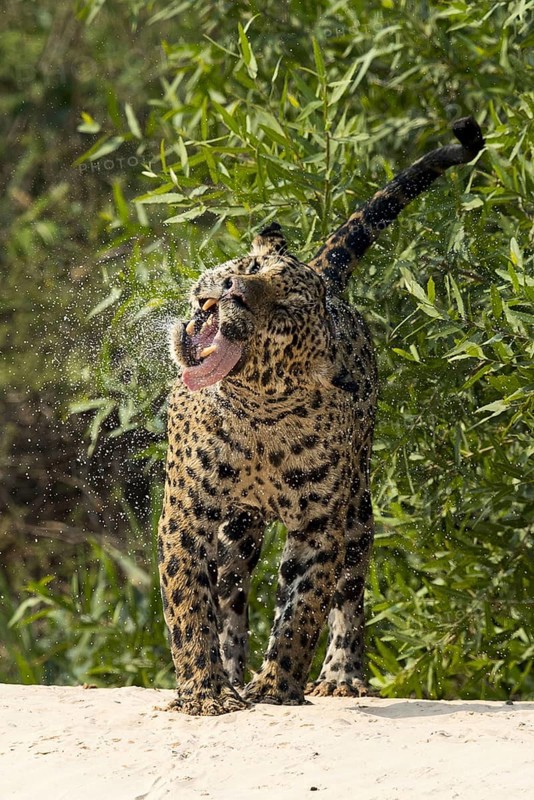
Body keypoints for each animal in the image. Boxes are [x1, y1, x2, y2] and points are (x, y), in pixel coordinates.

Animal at [157, 117, 484, 715]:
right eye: (251, 267)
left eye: (284, 312)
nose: (231, 289)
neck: (258, 417)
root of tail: (327, 276)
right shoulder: (188, 513)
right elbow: (191, 601)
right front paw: (206, 692)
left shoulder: (319, 525)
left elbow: (302, 607)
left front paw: (276, 686)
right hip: (239, 529)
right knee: (231, 589)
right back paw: (233, 671)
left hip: (357, 507)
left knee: (348, 591)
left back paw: (340, 676)